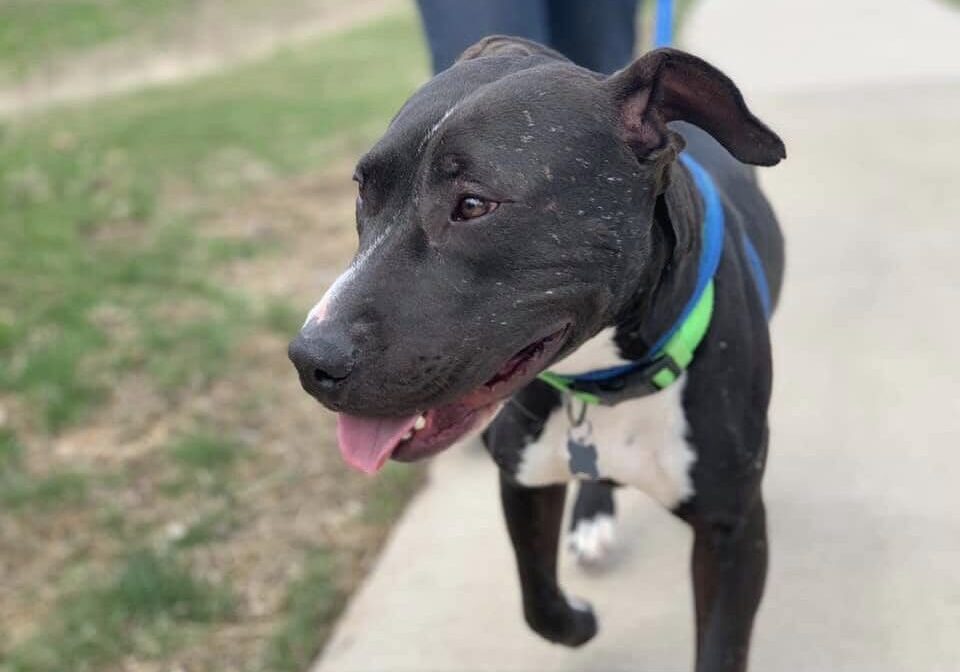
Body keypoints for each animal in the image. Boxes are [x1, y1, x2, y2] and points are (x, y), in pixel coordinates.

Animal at [288, 38, 784, 672]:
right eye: (361, 189)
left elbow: (721, 648)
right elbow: (539, 603)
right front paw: (579, 620)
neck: (604, 379)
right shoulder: (523, 479)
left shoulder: (733, 534)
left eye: (474, 204)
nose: (309, 359)